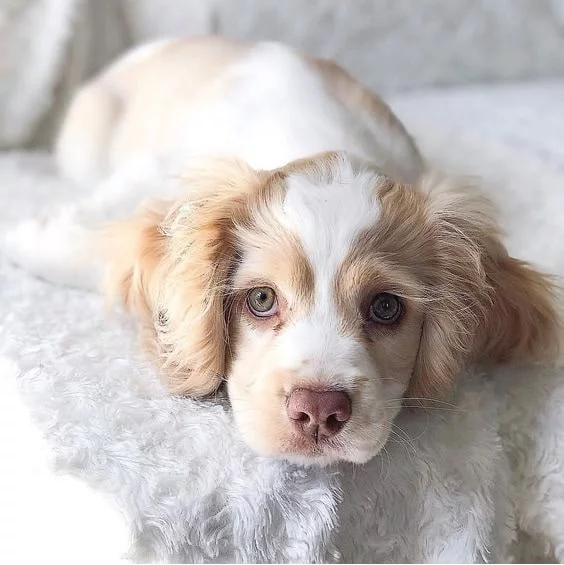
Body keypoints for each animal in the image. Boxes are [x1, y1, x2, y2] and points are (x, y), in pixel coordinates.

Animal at [32, 37, 564, 464]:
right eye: (262, 299)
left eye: (386, 307)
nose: (320, 411)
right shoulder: (155, 174)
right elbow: (88, 243)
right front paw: (40, 239)